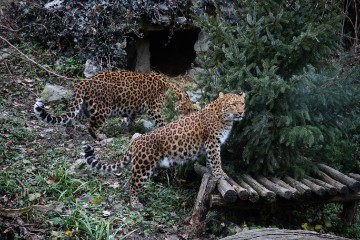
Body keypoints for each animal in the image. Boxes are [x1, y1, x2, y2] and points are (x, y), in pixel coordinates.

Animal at [33, 70, 197, 140]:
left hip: (84, 108)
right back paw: (99, 137)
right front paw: (166, 129)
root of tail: (83, 82)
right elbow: (162, 121)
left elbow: (131, 119)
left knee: (71, 116)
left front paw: (130, 130)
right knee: (90, 125)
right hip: (101, 110)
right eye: (187, 109)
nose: (189, 118)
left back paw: (69, 132)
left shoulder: (133, 110)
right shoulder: (154, 109)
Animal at [81, 93, 245, 209]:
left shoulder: (212, 145)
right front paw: (220, 174)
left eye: (242, 104)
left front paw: (212, 172)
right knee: (134, 183)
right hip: (144, 166)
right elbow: (216, 159)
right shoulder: (212, 142)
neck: (226, 119)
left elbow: (211, 160)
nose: (241, 113)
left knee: (130, 179)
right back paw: (135, 204)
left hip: (146, 166)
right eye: (233, 104)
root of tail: (136, 141)